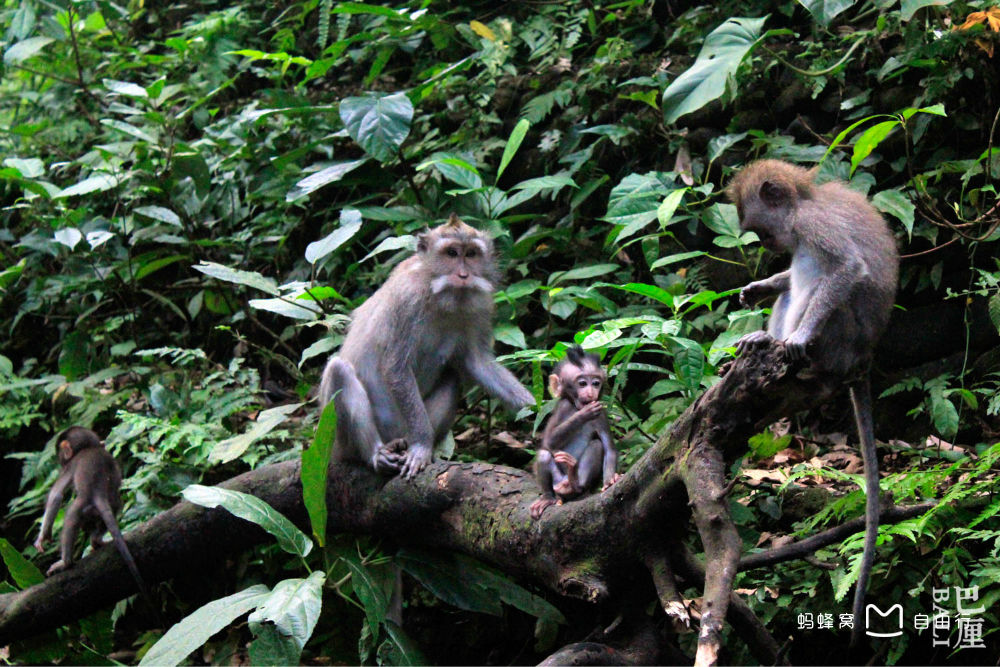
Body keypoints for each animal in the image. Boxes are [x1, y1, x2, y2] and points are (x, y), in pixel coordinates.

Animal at [34, 426, 151, 600]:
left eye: (60, 454)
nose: (60, 461)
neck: (89, 447)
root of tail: (98, 493)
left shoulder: (70, 466)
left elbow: (56, 496)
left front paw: (43, 536)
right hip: (107, 504)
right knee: (116, 505)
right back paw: (97, 541)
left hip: (82, 504)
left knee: (71, 515)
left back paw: (66, 562)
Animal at [324, 213, 536, 478]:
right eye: (452, 253)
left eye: (471, 254)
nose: (464, 276)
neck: (438, 294)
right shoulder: (406, 302)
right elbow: (396, 368)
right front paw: (422, 447)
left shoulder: (481, 306)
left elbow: (478, 362)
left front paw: (539, 409)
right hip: (340, 441)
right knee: (338, 370)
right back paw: (376, 453)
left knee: (452, 375)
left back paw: (405, 443)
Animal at [528, 342, 620, 520]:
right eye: (582, 383)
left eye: (596, 383)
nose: (591, 393)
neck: (575, 406)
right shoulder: (563, 407)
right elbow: (549, 441)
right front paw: (583, 415)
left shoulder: (602, 415)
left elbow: (609, 448)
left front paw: (610, 481)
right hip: (557, 480)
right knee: (543, 454)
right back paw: (548, 497)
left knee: (596, 444)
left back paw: (575, 484)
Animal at [728, 157, 900, 644]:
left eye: (761, 231)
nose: (769, 246)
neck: (806, 200)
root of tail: (862, 359)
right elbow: (787, 282)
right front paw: (761, 286)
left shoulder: (811, 226)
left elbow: (846, 269)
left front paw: (798, 338)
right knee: (796, 284)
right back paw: (763, 338)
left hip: (839, 339)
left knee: (825, 284)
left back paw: (790, 347)